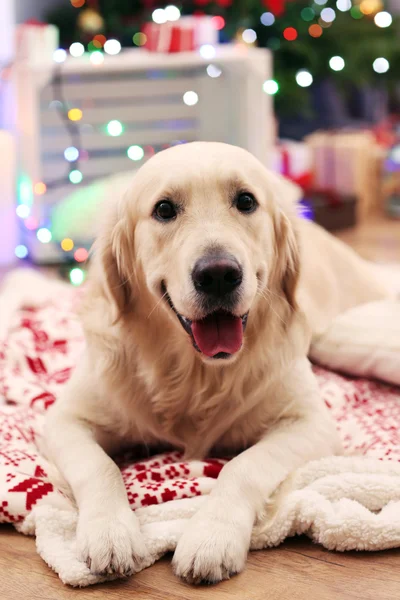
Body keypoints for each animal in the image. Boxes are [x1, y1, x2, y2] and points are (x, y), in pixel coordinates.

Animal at [44, 141, 390, 580]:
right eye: (164, 209)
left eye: (246, 201)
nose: (219, 274)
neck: (196, 373)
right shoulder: (64, 419)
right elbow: (98, 466)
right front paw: (110, 532)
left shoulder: (311, 423)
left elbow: (242, 466)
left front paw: (211, 537)